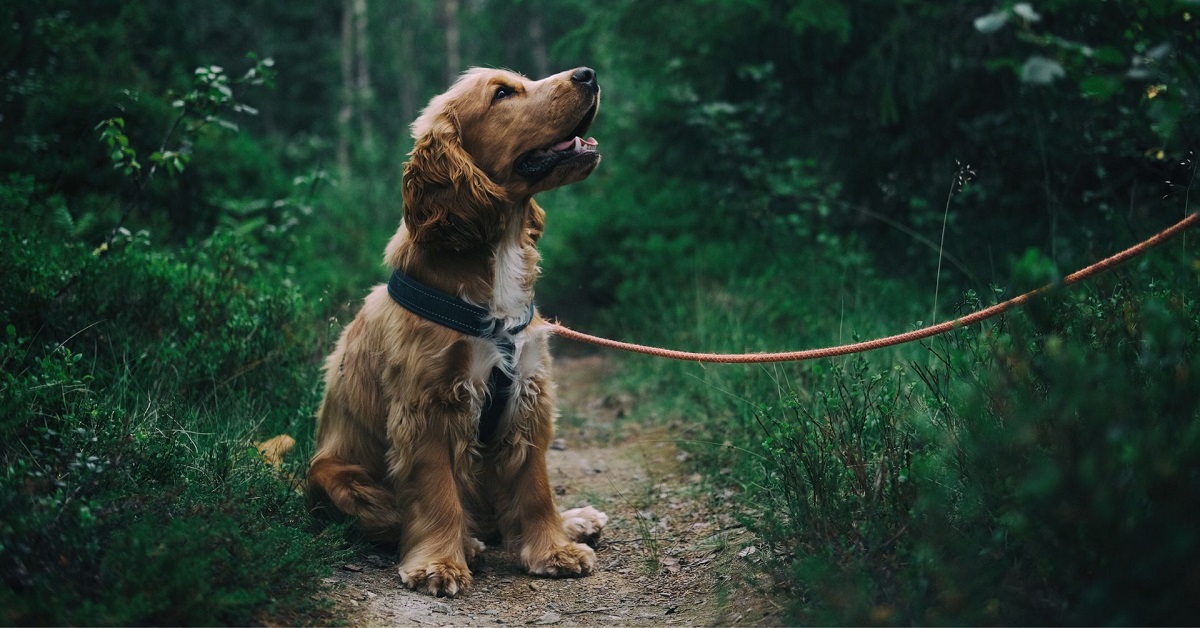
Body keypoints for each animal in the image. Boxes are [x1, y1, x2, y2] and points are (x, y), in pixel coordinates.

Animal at [307, 68, 609, 600]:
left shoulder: (528, 392)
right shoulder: (428, 405)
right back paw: (467, 542)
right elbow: (436, 492)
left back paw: (574, 520)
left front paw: (554, 549)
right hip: (332, 475)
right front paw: (439, 564)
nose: (588, 74)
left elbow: (535, 486)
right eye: (503, 93)